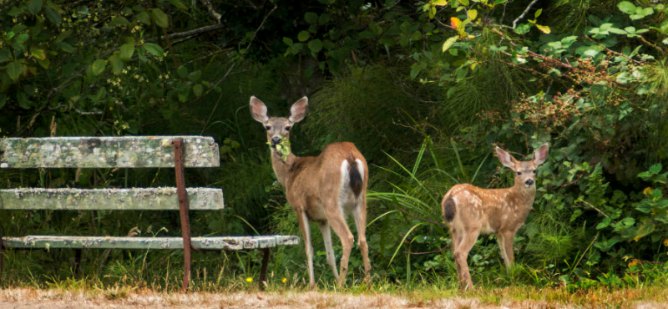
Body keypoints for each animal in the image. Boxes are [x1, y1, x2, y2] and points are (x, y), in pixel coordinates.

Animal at [248, 95, 370, 286]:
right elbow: (329, 254)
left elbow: (308, 249)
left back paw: (341, 285)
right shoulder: (321, 219)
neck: (290, 173)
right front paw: (332, 279)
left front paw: (312, 284)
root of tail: (350, 156)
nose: (275, 140)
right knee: (363, 240)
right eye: (268, 126)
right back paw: (367, 282)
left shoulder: (299, 207)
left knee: (348, 238)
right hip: (361, 200)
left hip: (331, 202)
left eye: (288, 127)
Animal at [440, 143, 544, 288]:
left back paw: (461, 287)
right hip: (472, 226)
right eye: (518, 172)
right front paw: (513, 278)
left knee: (454, 252)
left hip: (453, 228)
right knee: (460, 252)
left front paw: (509, 276)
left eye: (534, 171)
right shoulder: (508, 228)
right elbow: (510, 255)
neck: (517, 200)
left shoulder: (498, 231)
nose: (529, 181)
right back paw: (471, 287)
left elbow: (503, 255)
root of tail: (450, 196)